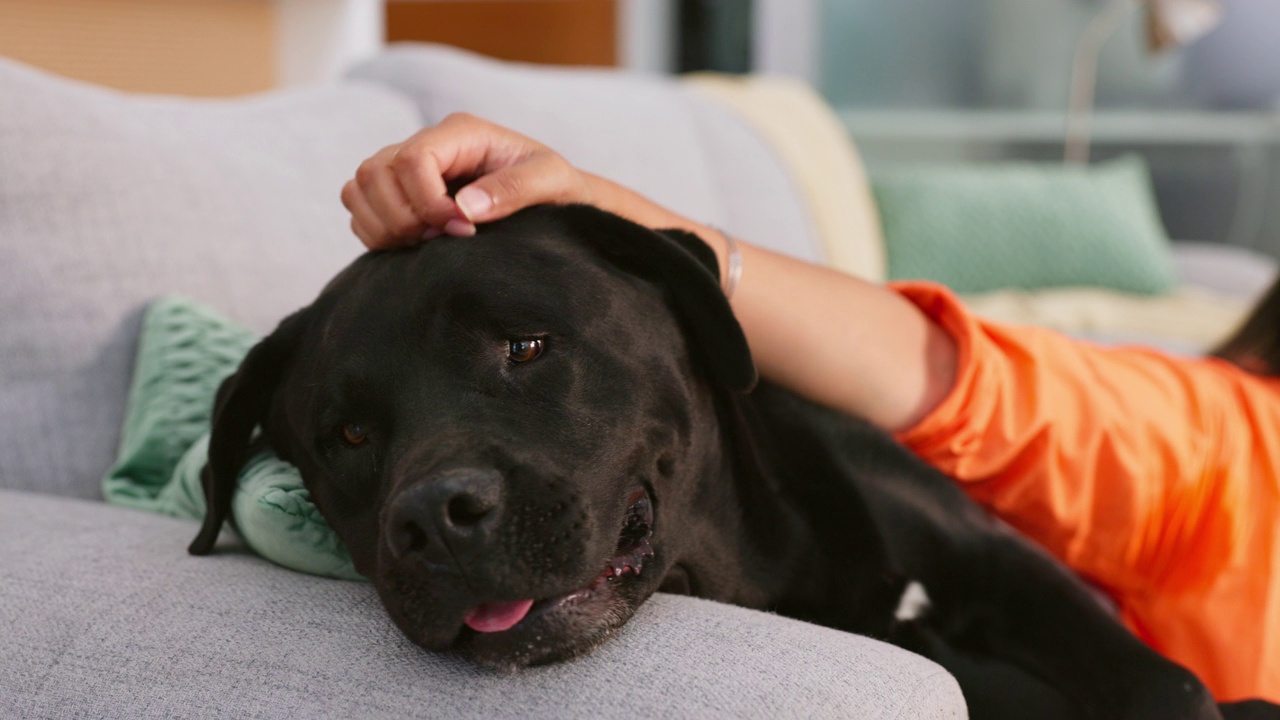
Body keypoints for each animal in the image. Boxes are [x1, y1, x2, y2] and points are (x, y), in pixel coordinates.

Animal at [186, 204, 1269, 712]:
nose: (431, 521)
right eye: (348, 436)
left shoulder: (1001, 562)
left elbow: (1169, 685)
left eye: (525, 346)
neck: (771, 559)